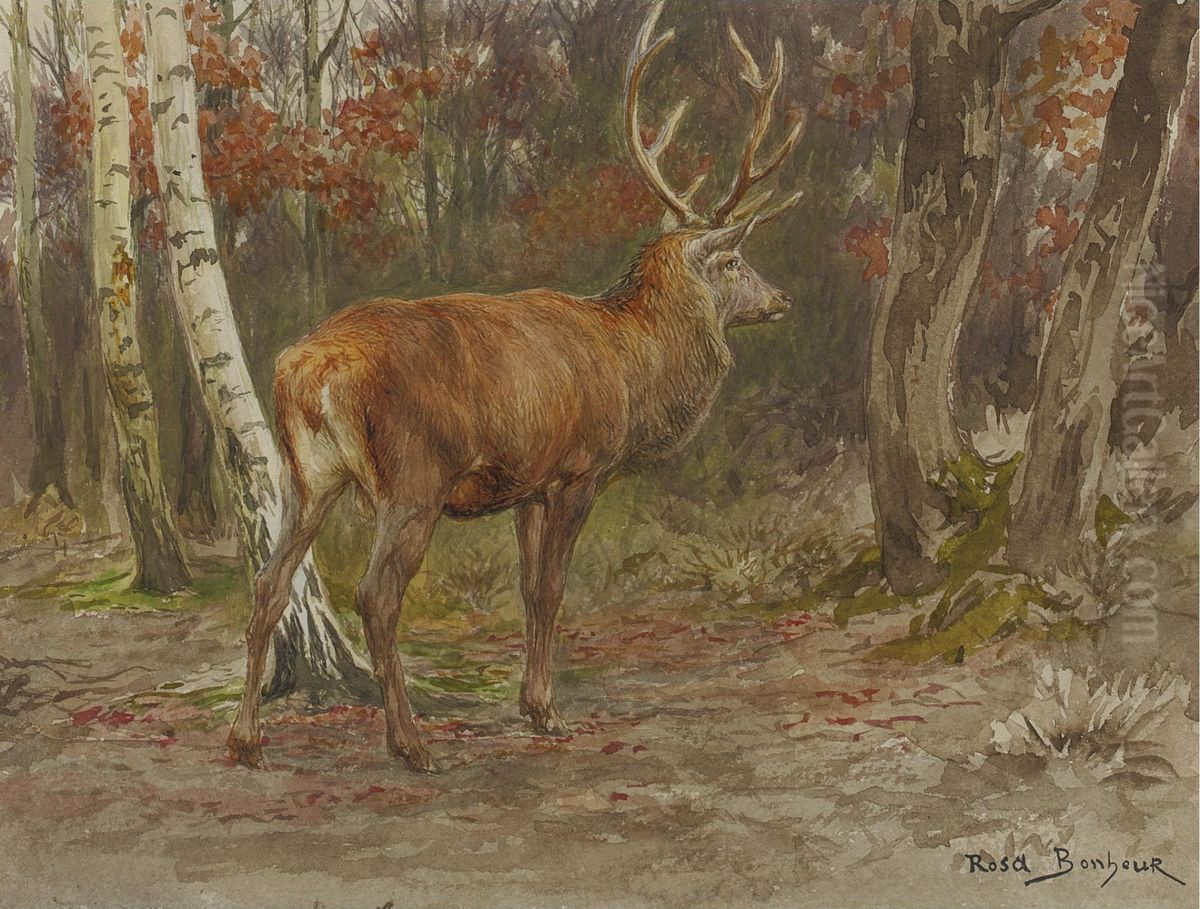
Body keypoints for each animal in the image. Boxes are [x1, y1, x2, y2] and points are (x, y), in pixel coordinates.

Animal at [228, 1, 805, 772]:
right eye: (736, 259)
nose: (782, 299)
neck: (634, 366)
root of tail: (309, 367)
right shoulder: (581, 466)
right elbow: (555, 589)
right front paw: (549, 712)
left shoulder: (530, 482)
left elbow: (529, 590)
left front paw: (529, 705)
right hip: (414, 477)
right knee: (377, 594)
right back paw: (411, 743)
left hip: (305, 475)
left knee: (268, 583)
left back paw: (245, 737)